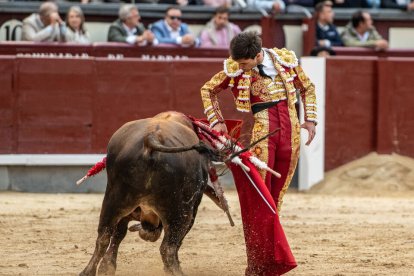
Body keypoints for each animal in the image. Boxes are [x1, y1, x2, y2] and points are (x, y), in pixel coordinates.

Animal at [79, 111, 228, 276]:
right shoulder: (192, 208)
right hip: (180, 211)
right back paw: (176, 271)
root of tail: (151, 139)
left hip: (113, 200)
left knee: (103, 236)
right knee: (168, 248)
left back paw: (87, 272)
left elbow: (118, 233)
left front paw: (106, 267)